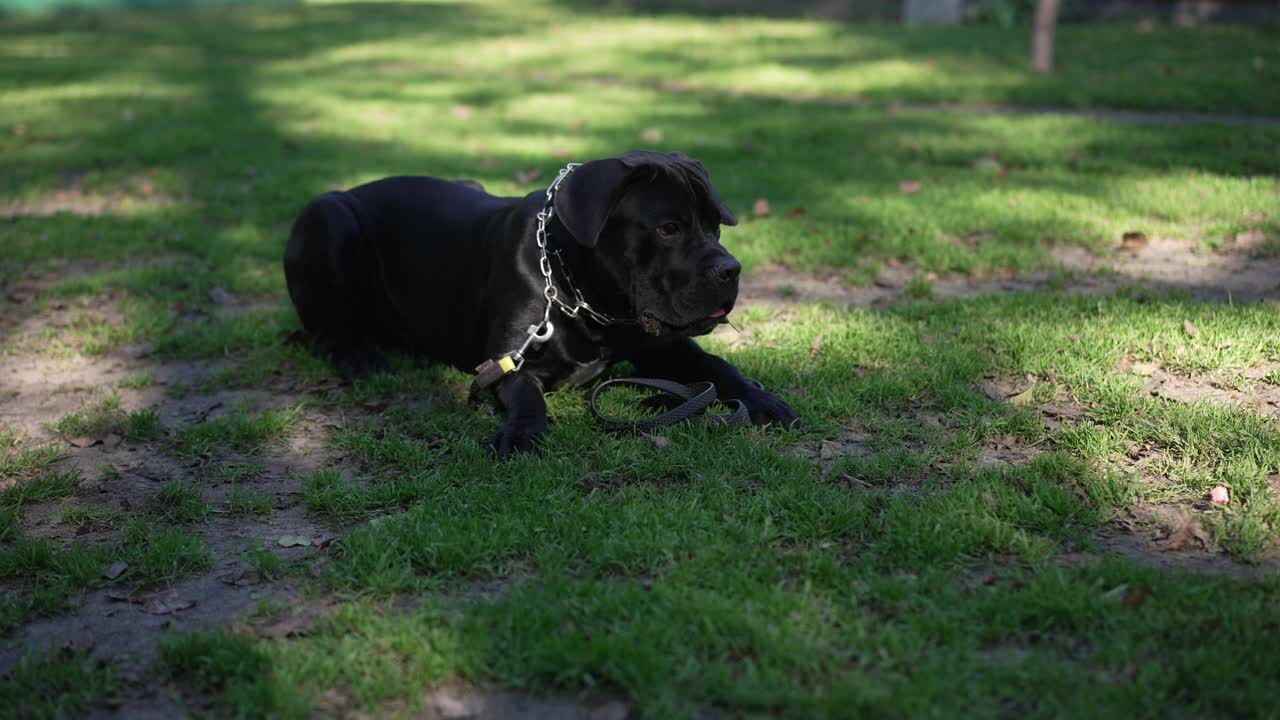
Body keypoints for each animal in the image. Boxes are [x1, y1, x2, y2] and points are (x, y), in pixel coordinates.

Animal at [285, 151, 793, 453]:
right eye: (668, 228)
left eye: (715, 225)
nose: (731, 269)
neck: (582, 298)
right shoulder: (507, 361)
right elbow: (529, 396)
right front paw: (521, 435)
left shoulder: (662, 344)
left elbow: (714, 365)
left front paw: (758, 397)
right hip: (328, 217)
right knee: (327, 334)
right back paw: (361, 358)